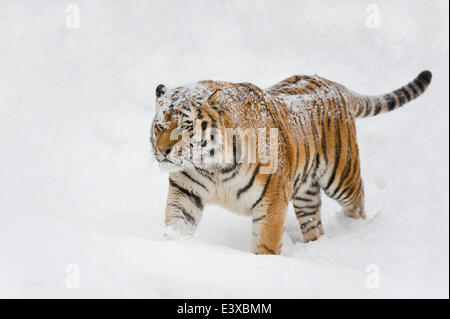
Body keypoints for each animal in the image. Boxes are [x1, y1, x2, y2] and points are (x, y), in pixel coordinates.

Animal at [150, 70, 432, 255]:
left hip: (342, 176)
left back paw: (355, 230)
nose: (162, 150)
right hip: (306, 194)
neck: (213, 167)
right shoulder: (185, 192)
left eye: (186, 126)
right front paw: (174, 247)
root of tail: (335, 85)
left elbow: (266, 244)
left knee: (358, 199)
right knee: (313, 223)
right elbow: (177, 225)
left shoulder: (271, 203)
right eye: (159, 126)